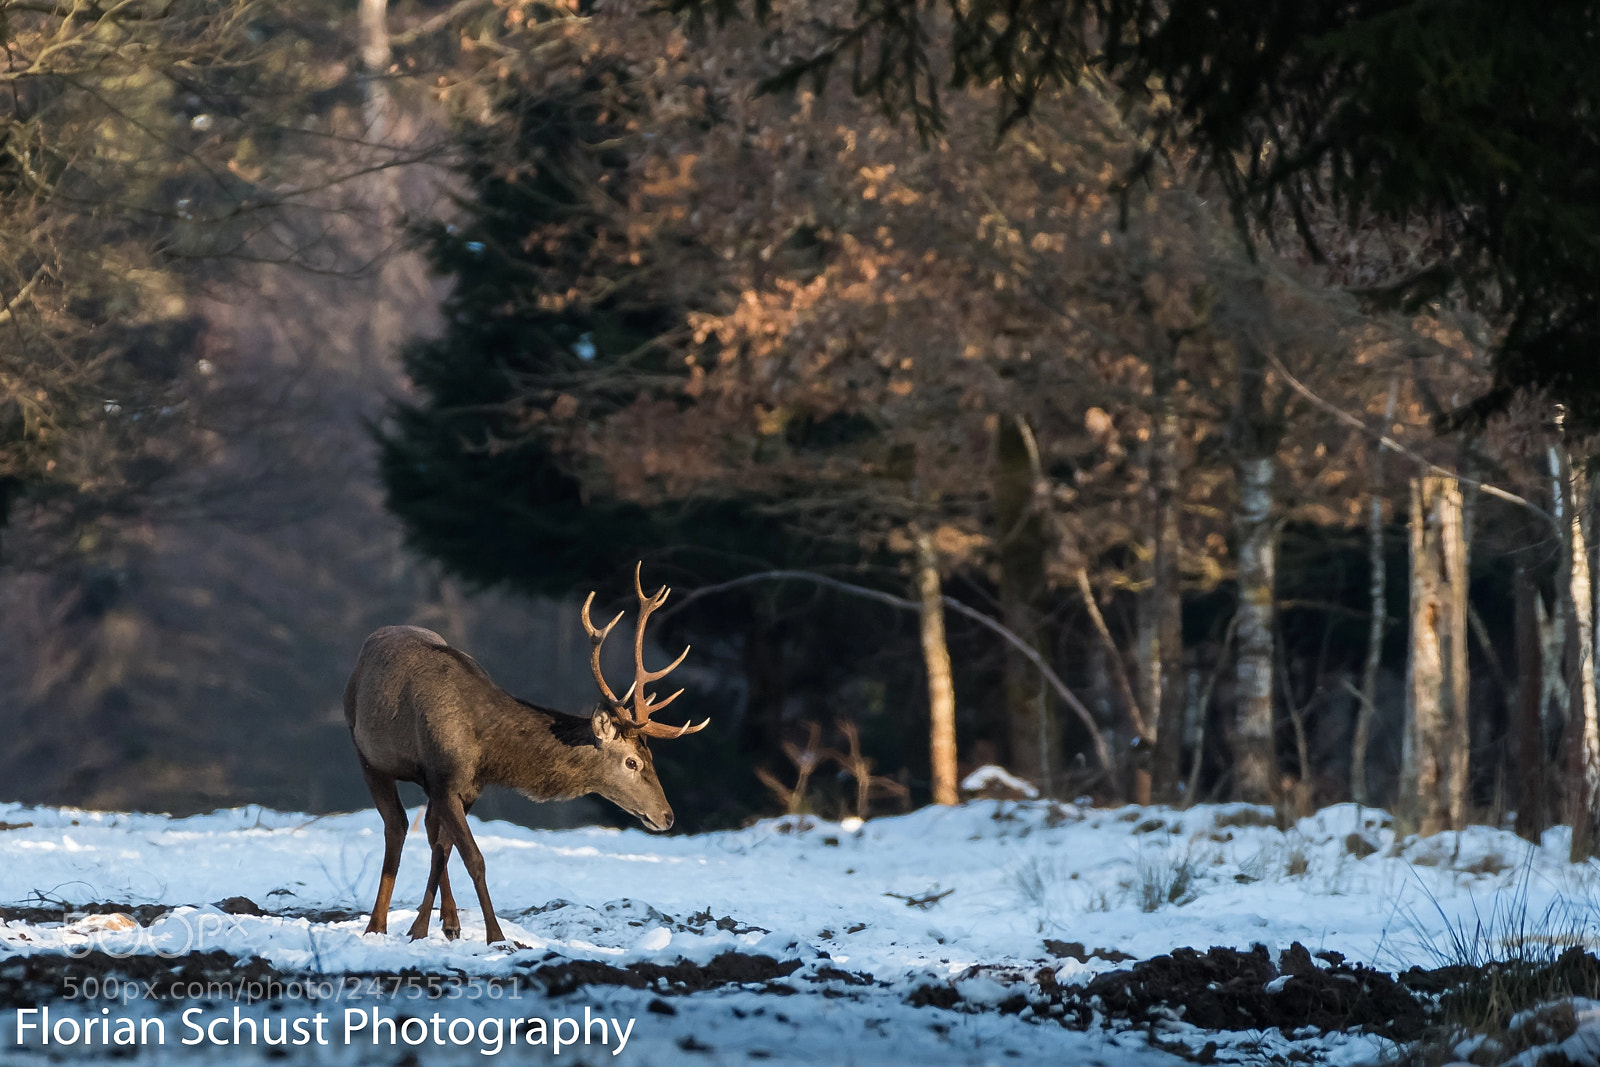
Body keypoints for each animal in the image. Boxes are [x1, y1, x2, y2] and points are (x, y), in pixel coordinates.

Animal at [343, 563, 707, 946]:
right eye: (632, 761)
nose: (667, 816)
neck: (486, 750)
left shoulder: (466, 788)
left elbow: (444, 849)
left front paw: (424, 928)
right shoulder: (443, 778)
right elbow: (474, 858)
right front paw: (495, 936)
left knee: (428, 831)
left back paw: (448, 921)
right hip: (366, 752)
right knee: (396, 825)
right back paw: (376, 924)